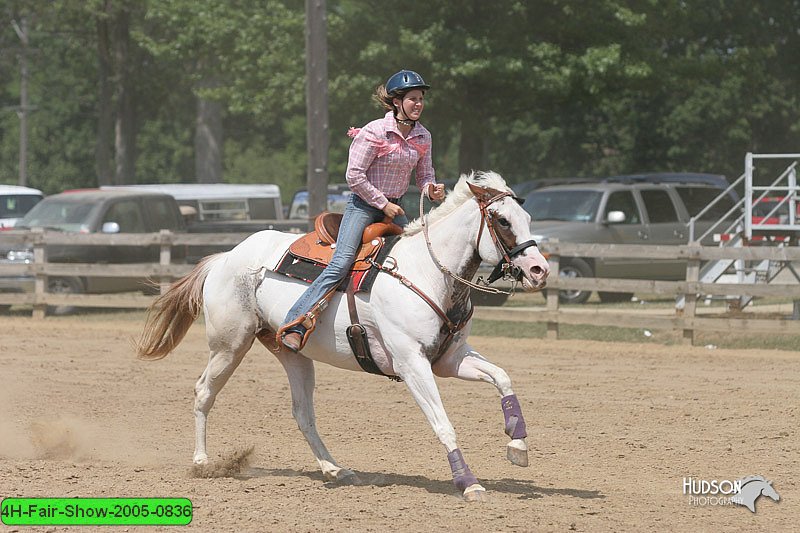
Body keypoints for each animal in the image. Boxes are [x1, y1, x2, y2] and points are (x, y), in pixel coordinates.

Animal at [139, 170, 552, 498]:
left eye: (527, 217)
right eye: (502, 220)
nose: (539, 270)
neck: (427, 273)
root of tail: (224, 258)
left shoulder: (449, 360)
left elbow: (502, 377)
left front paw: (517, 445)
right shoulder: (412, 363)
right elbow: (443, 423)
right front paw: (468, 482)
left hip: (291, 354)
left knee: (303, 413)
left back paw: (335, 469)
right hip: (229, 345)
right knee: (203, 392)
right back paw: (202, 461)